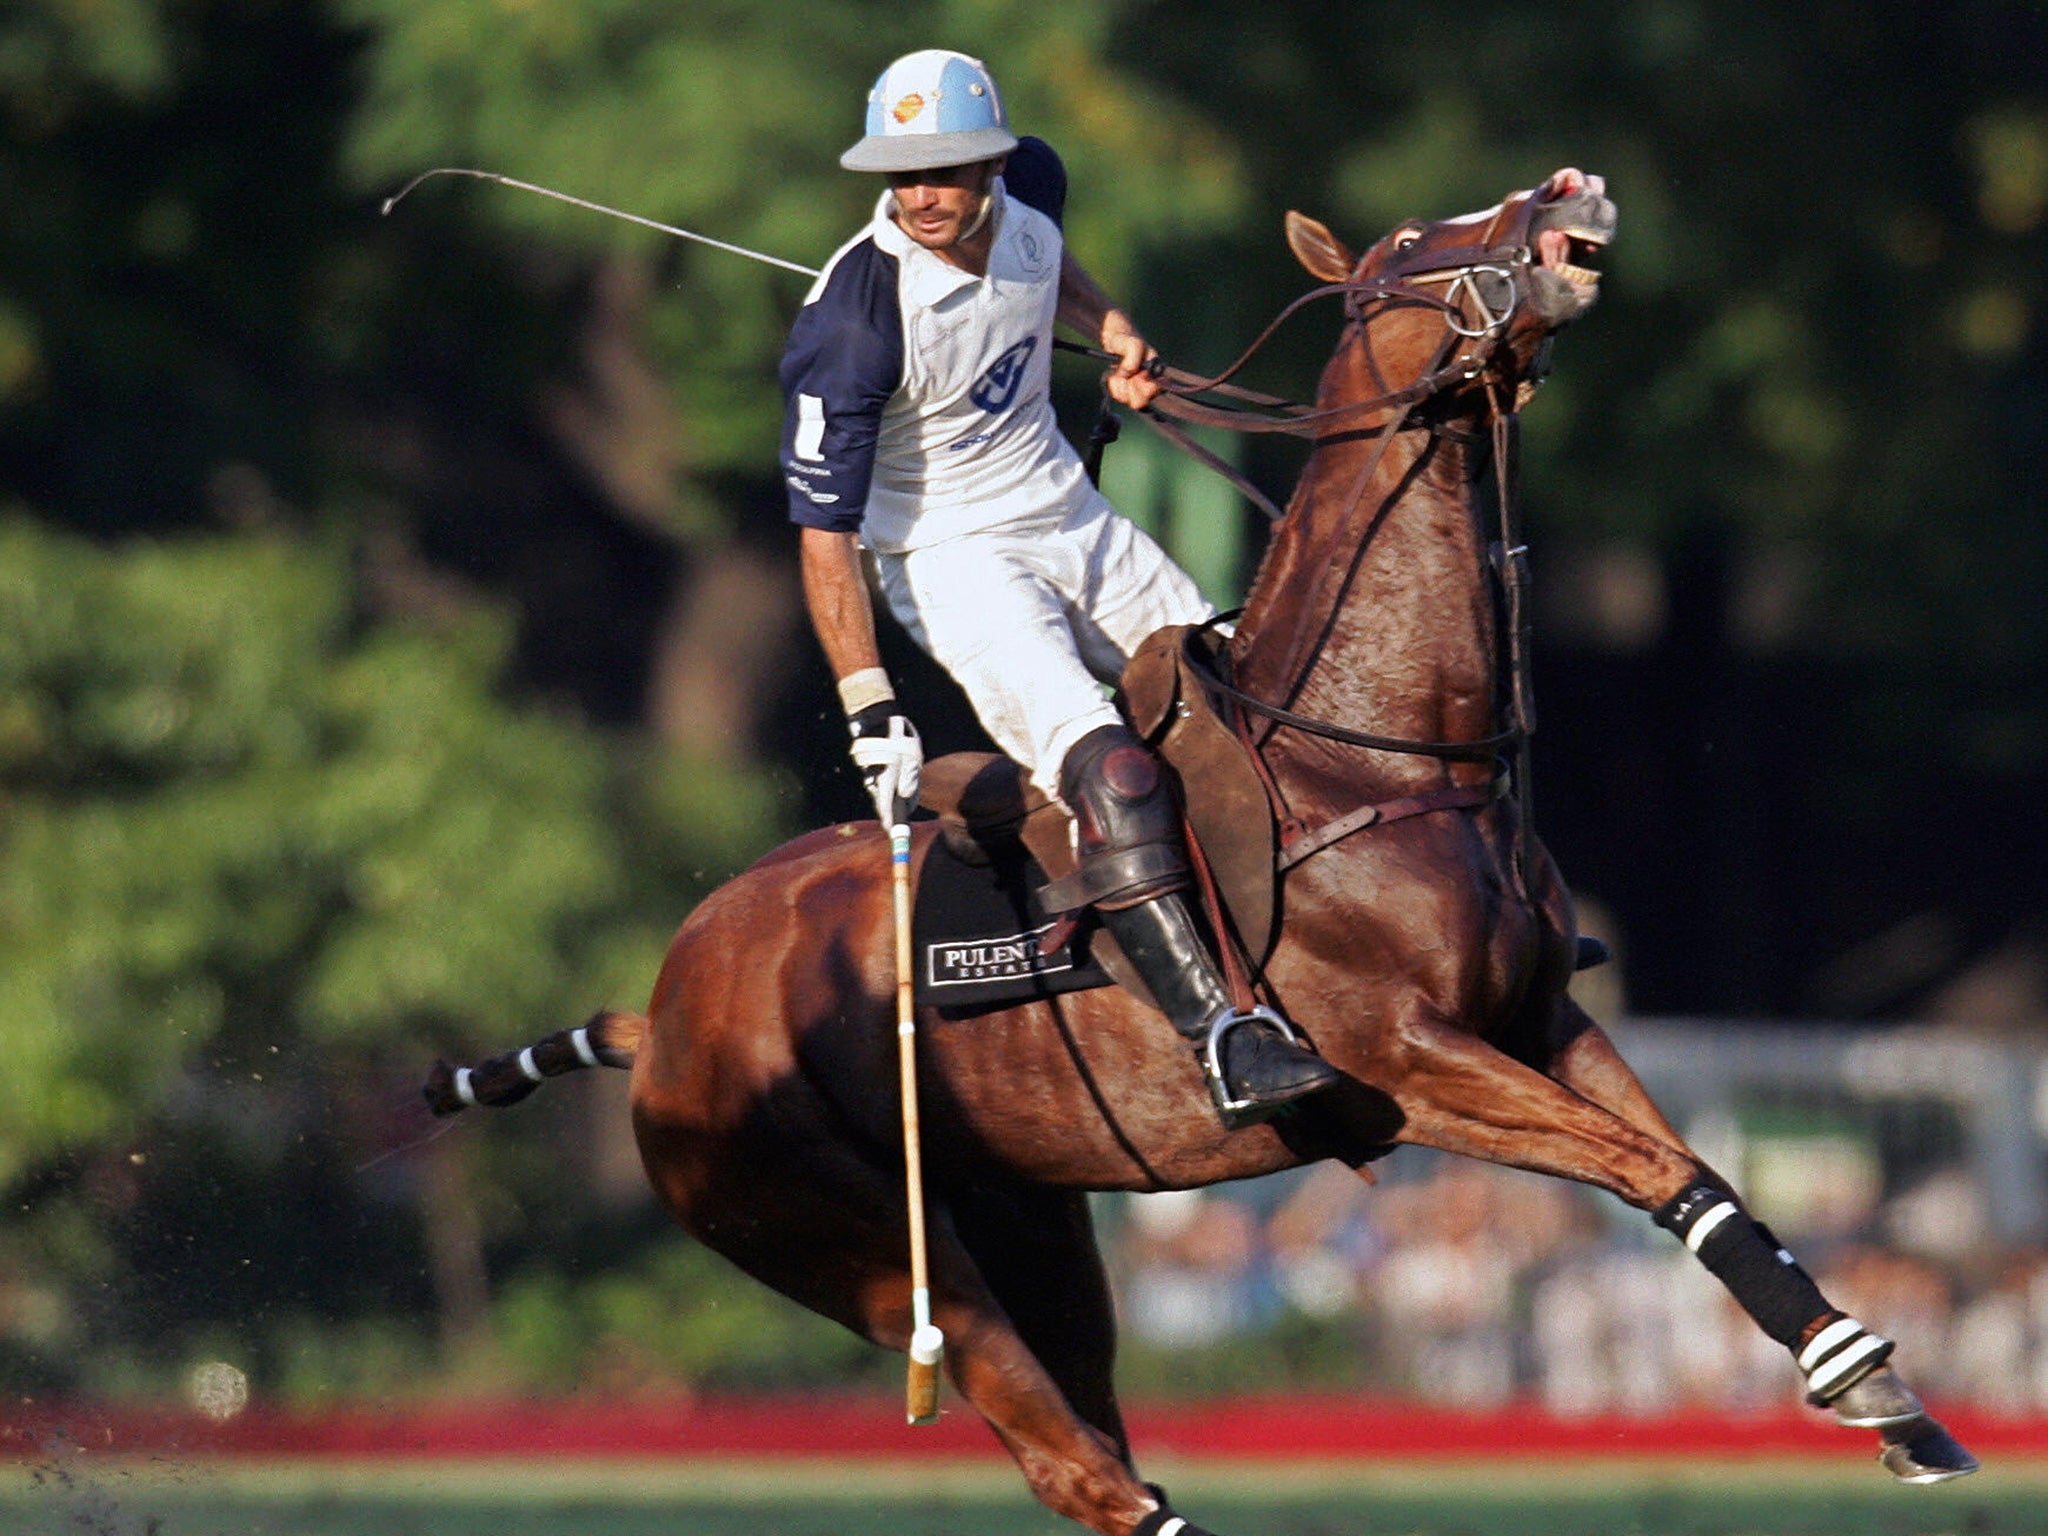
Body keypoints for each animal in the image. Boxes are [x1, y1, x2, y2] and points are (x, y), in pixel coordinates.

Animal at [423, 171, 1974, 1536]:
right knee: (1072, 1463)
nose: (1569, 190)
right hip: (852, 1239)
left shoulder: (1541, 1018)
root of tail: (662, 1009)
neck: (1372, 743)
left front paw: (1880, 1393)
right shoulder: (1409, 1061)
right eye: (1411, 239)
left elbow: (1692, 1170)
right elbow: (1643, 1166)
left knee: (1101, 1438)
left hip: (1031, 1219)